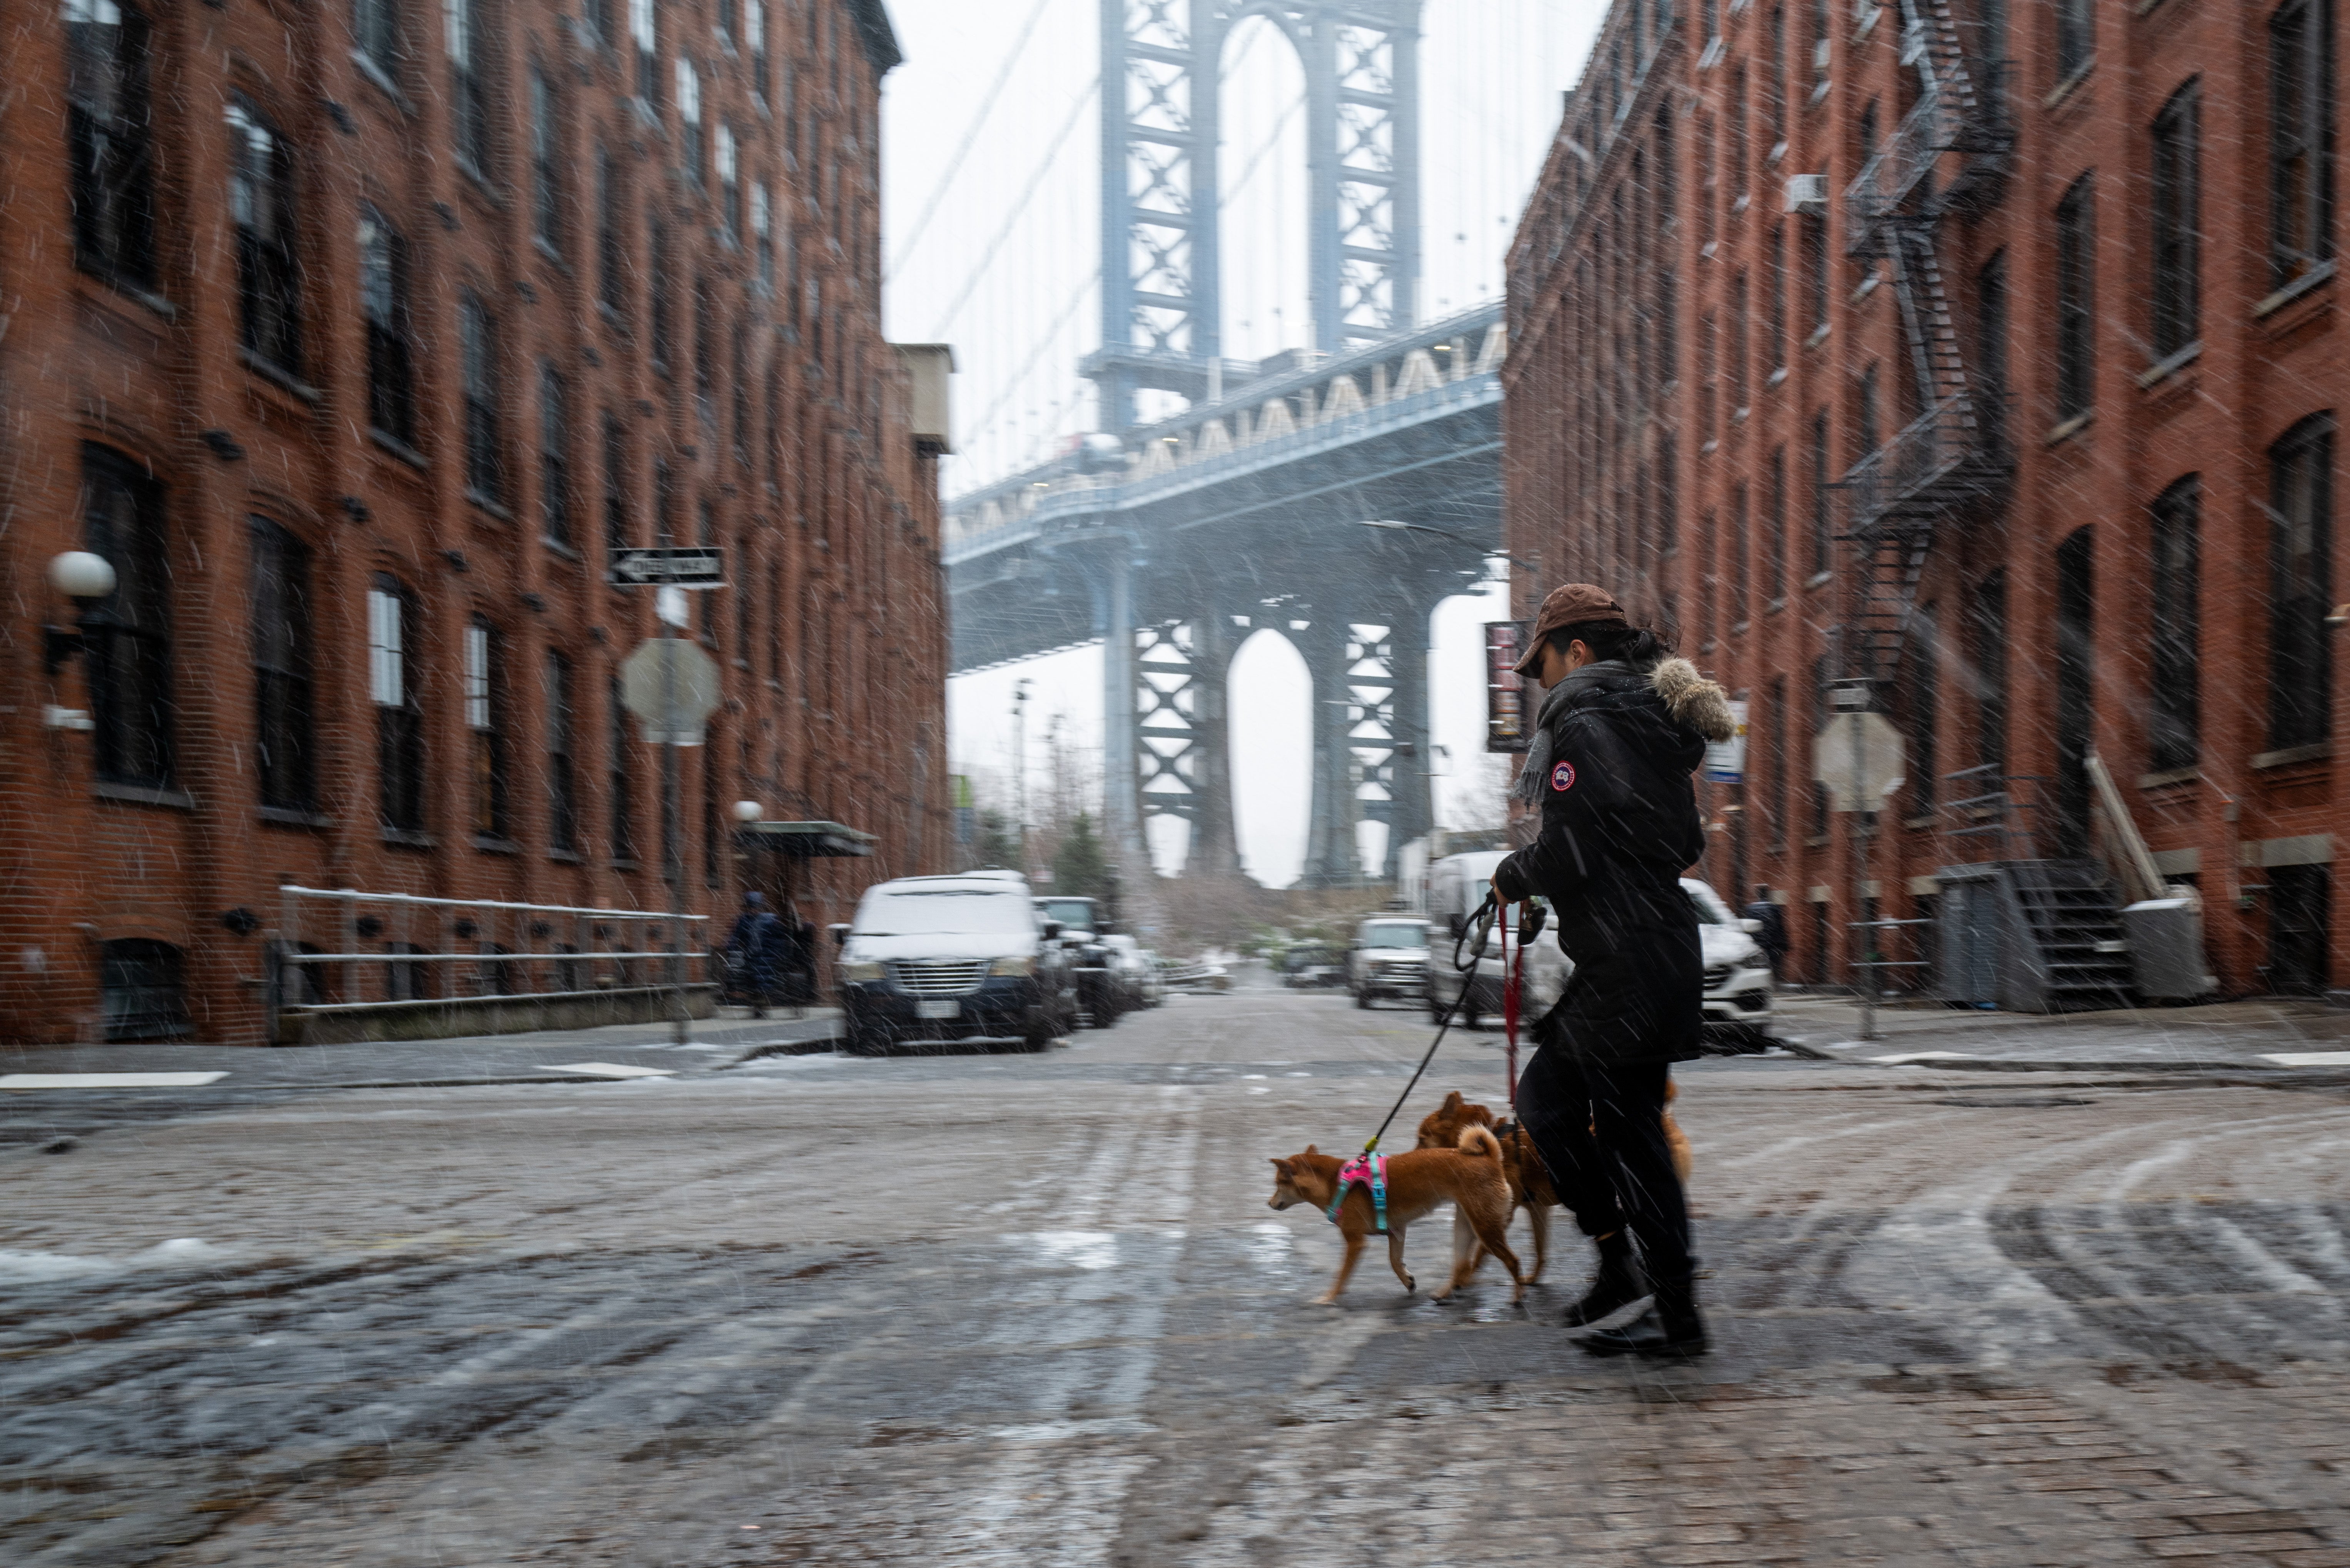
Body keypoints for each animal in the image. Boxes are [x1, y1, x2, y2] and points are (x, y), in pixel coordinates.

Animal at [1269, 1128, 1522, 1316]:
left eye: (1278, 1183)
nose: (1269, 1203)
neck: (1335, 1183)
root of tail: (1491, 1158)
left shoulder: (1355, 1242)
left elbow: (1341, 1277)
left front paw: (1329, 1298)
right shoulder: (1397, 1231)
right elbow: (1394, 1261)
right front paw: (1408, 1281)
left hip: (1485, 1228)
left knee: (1513, 1261)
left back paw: (1518, 1297)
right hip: (1465, 1225)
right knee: (1462, 1266)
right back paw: (1443, 1294)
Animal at [1410, 1086, 1692, 1298]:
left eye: (1423, 1139)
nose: (1409, 1157)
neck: (1493, 1138)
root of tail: (1664, 1119)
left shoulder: (1498, 1216)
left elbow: (1480, 1253)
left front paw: (1464, 1278)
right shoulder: (1536, 1210)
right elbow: (1540, 1249)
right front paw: (1532, 1278)